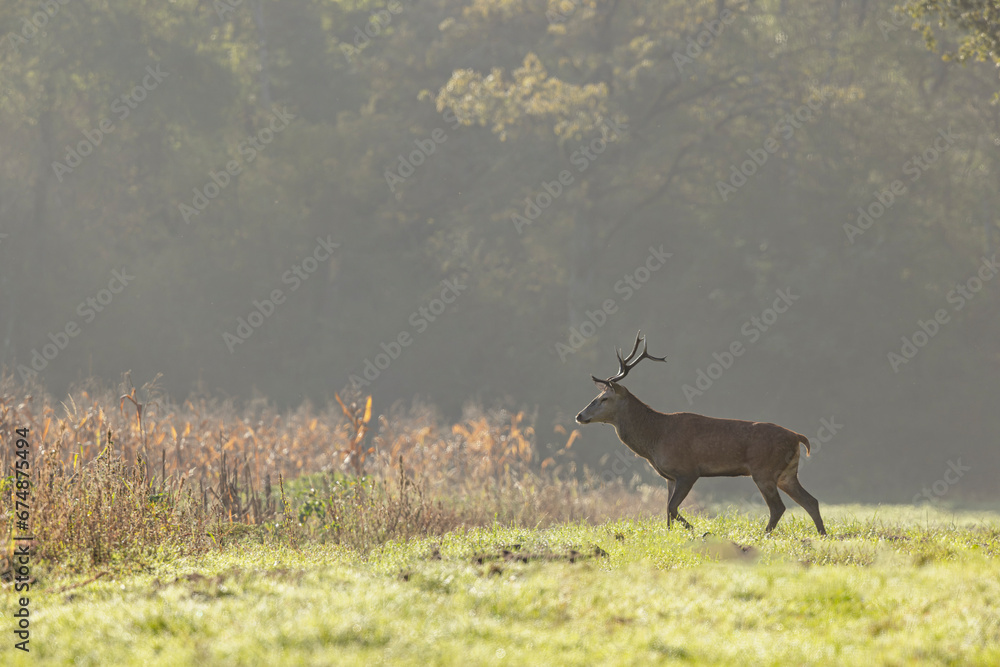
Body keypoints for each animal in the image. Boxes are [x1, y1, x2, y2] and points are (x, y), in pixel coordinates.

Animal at [575, 331, 826, 535]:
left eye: (604, 398)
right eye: (597, 396)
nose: (579, 415)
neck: (655, 438)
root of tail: (797, 437)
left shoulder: (688, 470)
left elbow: (672, 508)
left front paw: (695, 529)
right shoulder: (669, 477)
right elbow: (666, 511)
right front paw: (671, 535)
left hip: (764, 469)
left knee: (778, 507)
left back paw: (764, 535)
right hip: (787, 473)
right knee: (811, 501)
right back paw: (822, 534)